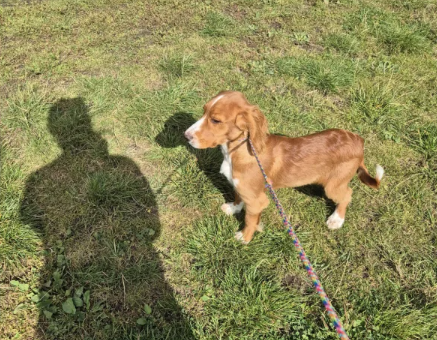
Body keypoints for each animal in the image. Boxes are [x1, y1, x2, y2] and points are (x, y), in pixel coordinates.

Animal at [184, 91, 382, 244]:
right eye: (203, 111)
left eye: (215, 120)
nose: (186, 135)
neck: (237, 151)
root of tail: (359, 142)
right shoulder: (242, 187)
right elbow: (237, 196)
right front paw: (233, 208)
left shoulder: (257, 200)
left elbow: (249, 220)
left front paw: (244, 238)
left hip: (333, 185)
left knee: (347, 195)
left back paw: (336, 220)